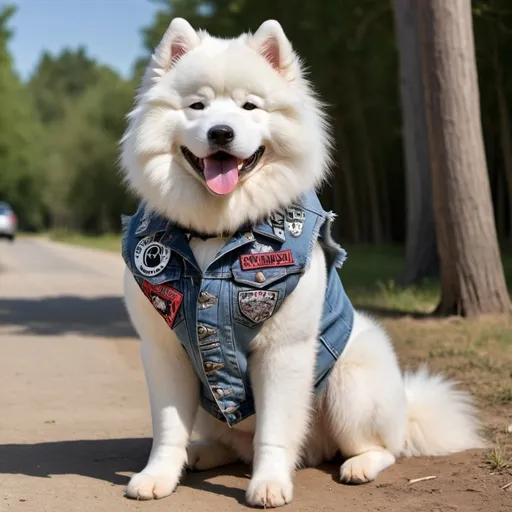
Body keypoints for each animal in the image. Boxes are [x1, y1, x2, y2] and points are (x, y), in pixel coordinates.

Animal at [120, 17, 484, 508]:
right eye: (197, 106)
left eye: (249, 107)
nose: (221, 133)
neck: (219, 232)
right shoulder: (165, 348)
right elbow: (168, 428)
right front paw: (158, 476)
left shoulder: (283, 349)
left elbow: (273, 432)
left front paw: (269, 484)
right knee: (233, 440)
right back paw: (203, 453)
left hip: (352, 385)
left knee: (384, 447)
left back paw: (359, 465)